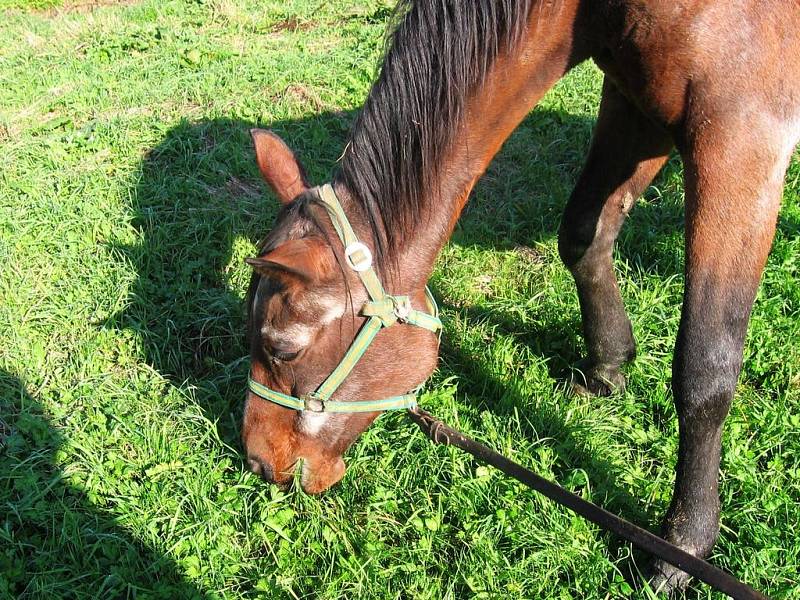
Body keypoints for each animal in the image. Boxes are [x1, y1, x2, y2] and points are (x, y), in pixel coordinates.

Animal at [244, 0, 800, 592]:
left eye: (281, 349)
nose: (257, 460)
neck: (600, 12)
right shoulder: (637, 102)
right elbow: (584, 235)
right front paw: (608, 366)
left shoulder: (740, 139)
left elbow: (705, 368)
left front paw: (683, 544)